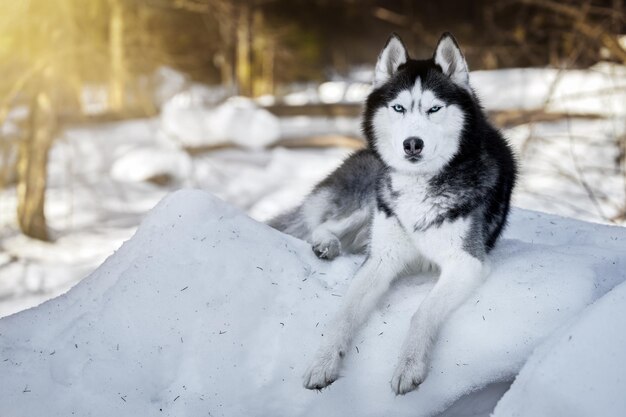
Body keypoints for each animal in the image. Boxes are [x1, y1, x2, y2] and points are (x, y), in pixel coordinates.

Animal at [268, 33, 512, 394]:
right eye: (399, 108)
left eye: (434, 108)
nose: (413, 144)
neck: (419, 187)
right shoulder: (382, 257)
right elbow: (344, 314)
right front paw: (323, 362)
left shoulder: (467, 263)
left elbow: (422, 313)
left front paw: (409, 366)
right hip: (371, 195)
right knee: (325, 223)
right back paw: (326, 244)